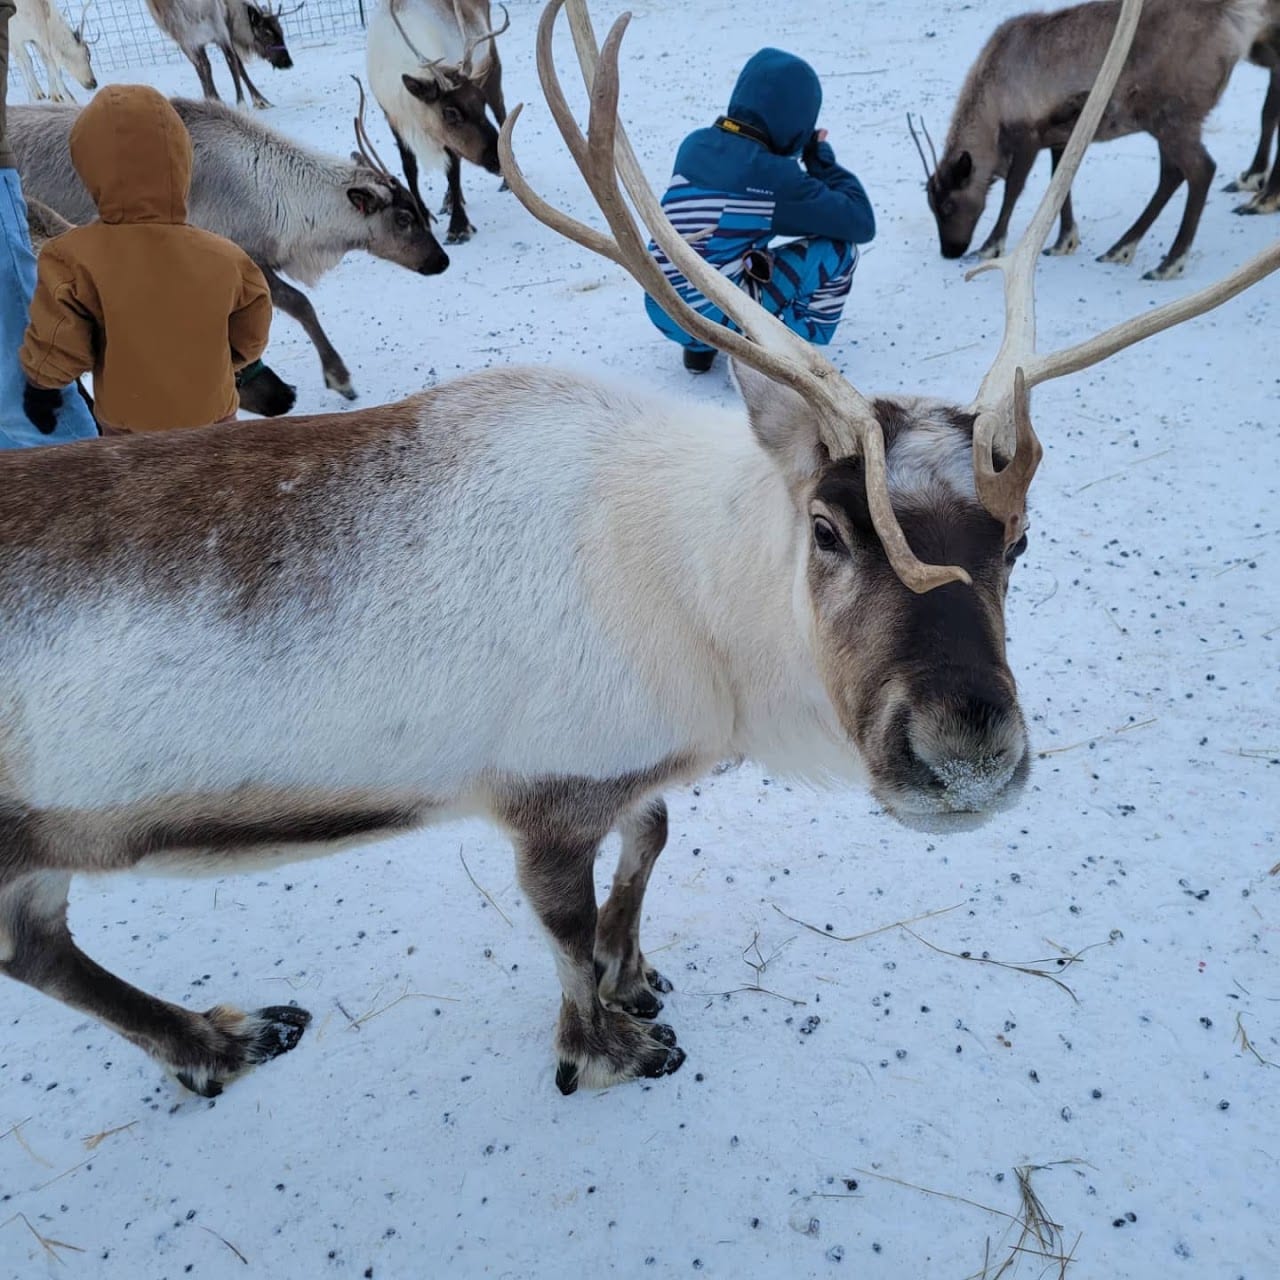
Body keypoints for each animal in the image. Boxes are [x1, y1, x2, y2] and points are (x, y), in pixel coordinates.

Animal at [143, 0, 298, 110]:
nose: (288, 62)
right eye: (267, 33)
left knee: (203, 65)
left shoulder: (214, 34)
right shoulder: (210, 33)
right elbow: (233, 63)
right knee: (208, 65)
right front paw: (244, 103)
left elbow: (232, 65)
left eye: (281, 30)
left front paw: (260, 100)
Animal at [366, 0, 509, 243]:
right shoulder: (394, 119)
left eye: (480, 102)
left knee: (503, 117)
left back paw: (506, 182)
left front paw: (459, 227)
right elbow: (409, 167)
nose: (497, 160)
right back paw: (450, 200)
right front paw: (423, 214)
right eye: (450, 112)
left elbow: (452, 168)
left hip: (492, 66)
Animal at [915, 0, 1268, 280]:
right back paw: (1121, 248)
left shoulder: (1027, 133)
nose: (950, 250)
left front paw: (991, 245)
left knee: (1200, 169)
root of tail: (1233, 21)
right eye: (931, 204)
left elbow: (1014, 189)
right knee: (1172, 174)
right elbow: (1060, 183)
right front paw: (1064, 241)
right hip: (1165, 123)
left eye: (948, 204)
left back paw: (1169, 263)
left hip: (1170, 117)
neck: (991, 107)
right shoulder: (1060, 135)